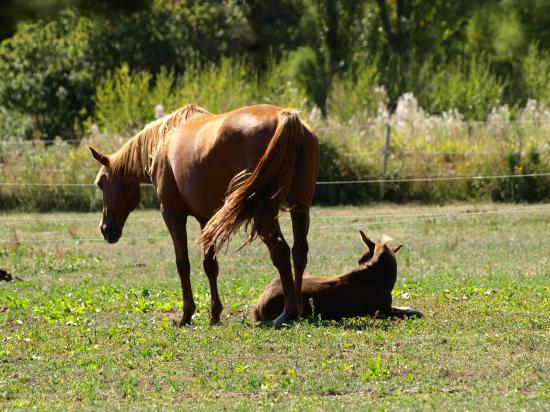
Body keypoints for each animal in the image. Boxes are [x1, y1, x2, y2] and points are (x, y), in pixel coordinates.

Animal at [90, 104, 322, 326]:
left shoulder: (172, 214)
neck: (165, 140)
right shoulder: (206, 219)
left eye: (101, 182)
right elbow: (210, 265)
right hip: (300, 206)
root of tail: (284, 116)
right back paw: (298, 311)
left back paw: (287, 313)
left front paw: (186, 314)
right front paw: (214, 314)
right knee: (299, 252)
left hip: (264, 213)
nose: (105, 229)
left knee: (280, 252)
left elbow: (182, 263)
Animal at [252, 232, 424, 322]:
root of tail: (258, 305)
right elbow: (413, 313)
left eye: (360, 260)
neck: (374, 280)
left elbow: (406, 308)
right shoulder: (384, 312)